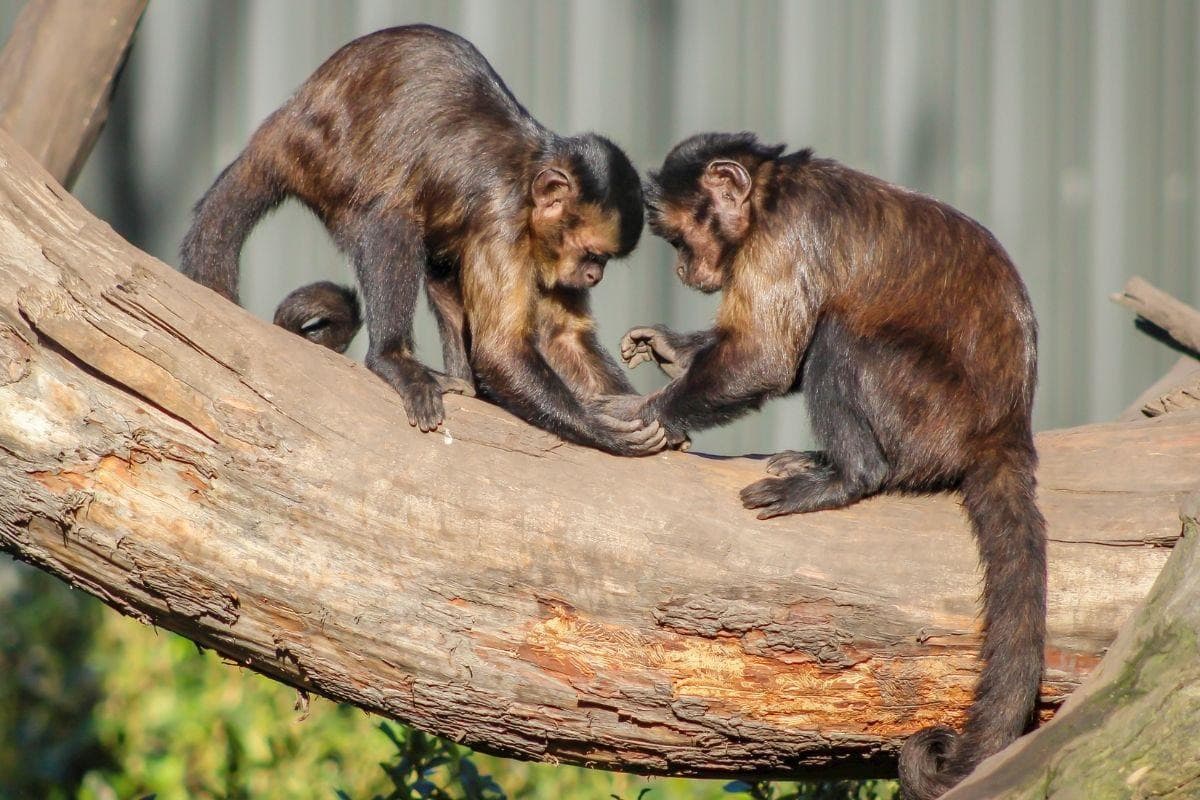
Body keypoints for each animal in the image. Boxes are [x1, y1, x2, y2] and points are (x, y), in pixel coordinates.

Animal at [180, 25, 667, 455]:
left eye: (602, 260)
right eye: (591, 254)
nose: (594, 274)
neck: (529, 177)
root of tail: (284, 122)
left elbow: (566, 337)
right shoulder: (502, 217)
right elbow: (500, 351)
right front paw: (600, 429)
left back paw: (465, 384)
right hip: (325, 160)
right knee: (393, 218)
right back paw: (392, 358)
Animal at [609, 131, 1041, 800]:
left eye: (680, 239)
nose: (682, 268)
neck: (769, 193)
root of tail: (1005, 427)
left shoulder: (787, 234)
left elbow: (767, 357)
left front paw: (658, 413)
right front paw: (673, 349)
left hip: (930, 419)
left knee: (839, 333)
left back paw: (847, 476)